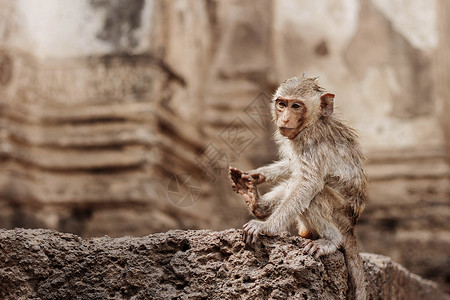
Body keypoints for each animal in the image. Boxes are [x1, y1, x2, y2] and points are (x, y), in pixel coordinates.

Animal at [230, 75, 368, 300]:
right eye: (282, 104)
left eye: (296, 106)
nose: (285, 119)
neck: (313, 122)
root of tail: (351, 227)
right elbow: (293, 166)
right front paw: (256, 176)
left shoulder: (312, 142)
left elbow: (308, 182)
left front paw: (266, 227)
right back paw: (257, 204)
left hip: (340, 215)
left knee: (315, 194)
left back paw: (331, 240)